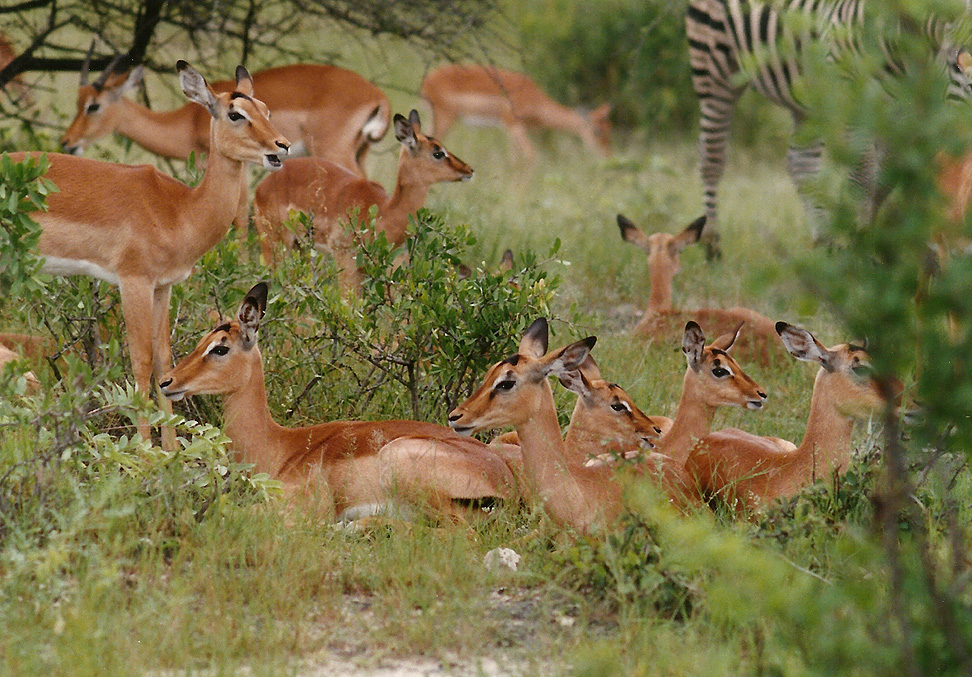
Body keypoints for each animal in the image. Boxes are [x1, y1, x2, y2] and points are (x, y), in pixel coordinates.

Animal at [684, 0, 972, 254]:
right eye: (957, 63)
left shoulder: (904, 111)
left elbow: (885, 181)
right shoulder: (854, 98)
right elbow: (863, 179)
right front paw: (859, 249)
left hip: (807, 97)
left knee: (800, 163)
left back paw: (824, 244)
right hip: (714, 69)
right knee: (711, 158)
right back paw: (712, 246)